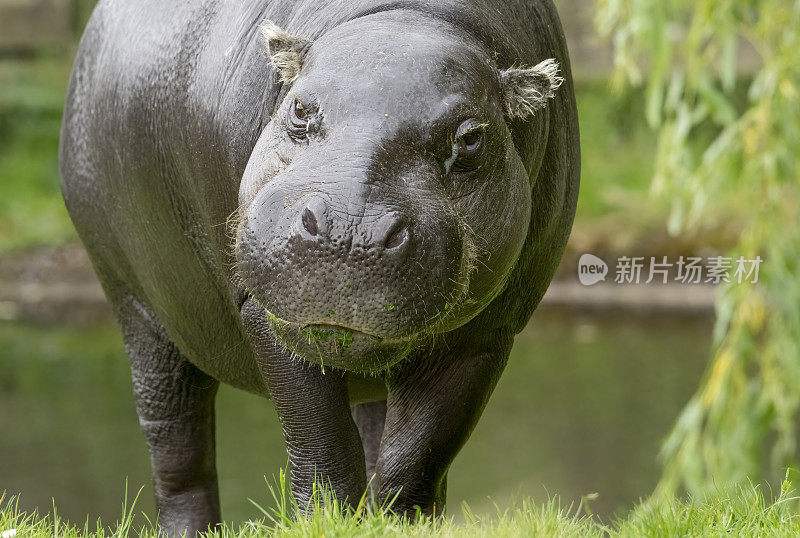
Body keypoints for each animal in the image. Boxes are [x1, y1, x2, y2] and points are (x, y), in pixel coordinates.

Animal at [59, 0, 580, 532]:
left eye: (472, 137)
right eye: (298, 108)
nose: (349, 231)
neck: (410, 18)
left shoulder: (486, 334)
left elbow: (414, 458)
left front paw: (393, 525)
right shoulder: (269, 315)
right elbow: (321, 447)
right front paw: (326, 521)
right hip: (137, 310)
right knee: (178, 451)